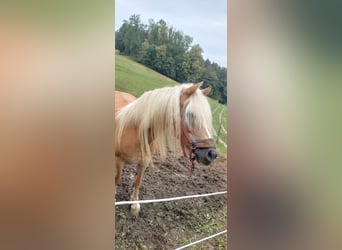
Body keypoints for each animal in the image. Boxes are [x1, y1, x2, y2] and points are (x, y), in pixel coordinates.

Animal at [115, 82, 216, 215]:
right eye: (190, 115)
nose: (212, 154)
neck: (136, 131)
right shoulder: (119, 162)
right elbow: (117, 179)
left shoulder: (144, 163)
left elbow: (138, 182)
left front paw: (134, 204)